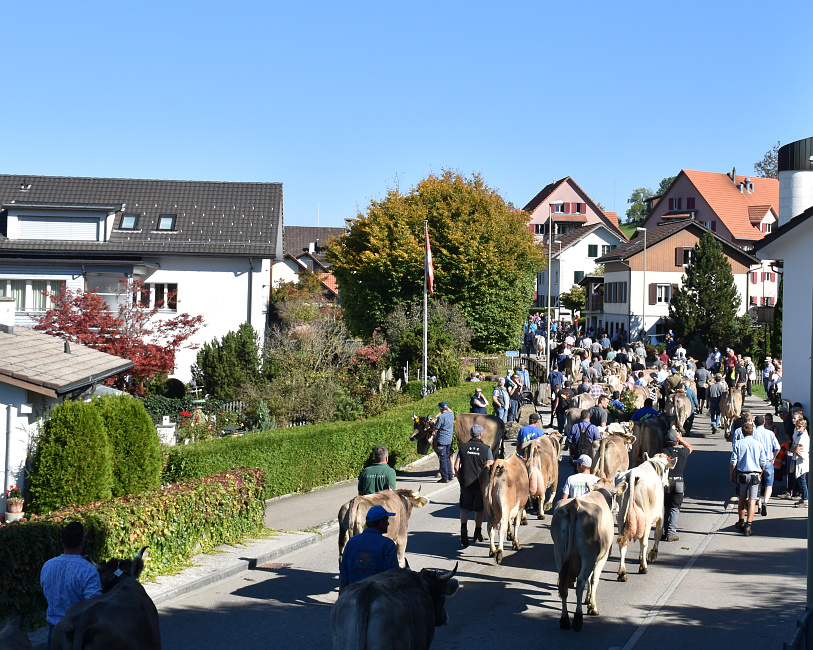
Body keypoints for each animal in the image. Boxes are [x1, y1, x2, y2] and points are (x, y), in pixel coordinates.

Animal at [548, 484, 620, 632]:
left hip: (559, 551)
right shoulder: (601, 557)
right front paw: (592, 606)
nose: (617, 507)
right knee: (580, 582)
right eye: (614, 496)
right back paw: (578, 619)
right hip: (588, 553)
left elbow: (589, 577)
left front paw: (588, 600)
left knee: (563, 585)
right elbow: (594, 579)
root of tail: (574, 504)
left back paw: (564, 620)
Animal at [612, 450, 676, 584]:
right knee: (644, 541)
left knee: (622, 543)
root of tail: (632, 474)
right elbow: (657, 534)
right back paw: (643, 567)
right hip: (647, 516)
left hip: (621, 515)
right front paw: (652, 555)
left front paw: (641, 557)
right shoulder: (661, 514)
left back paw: (622, 573)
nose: (667, 483)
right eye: (667, 469)